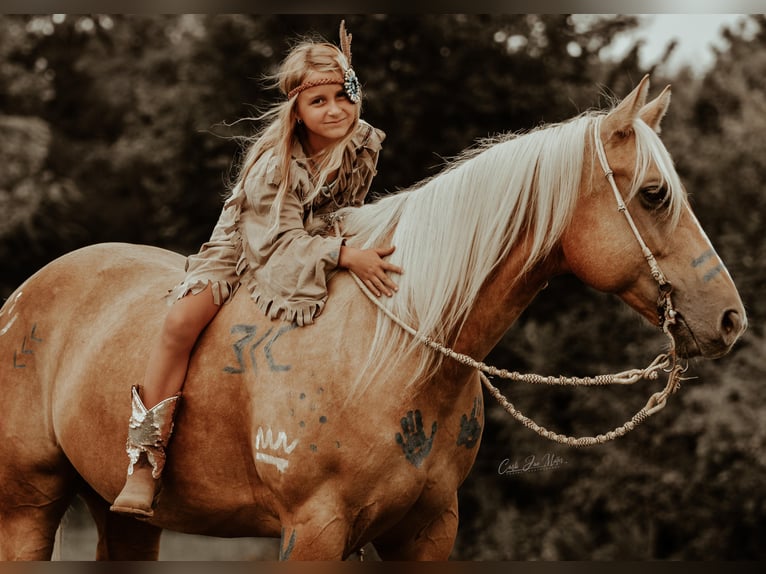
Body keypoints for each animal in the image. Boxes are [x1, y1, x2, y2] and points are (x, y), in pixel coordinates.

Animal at [0, 77, 744, 564]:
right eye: (654, 193)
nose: (731, 320)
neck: (393, 350)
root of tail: (19, 301)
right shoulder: (313, 530)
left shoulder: (428, 530)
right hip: (27, 507)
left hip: (124, 520)